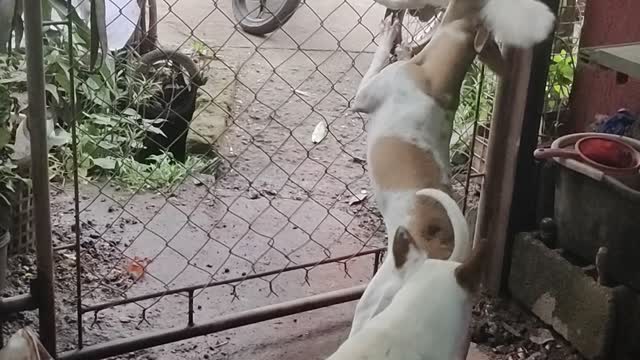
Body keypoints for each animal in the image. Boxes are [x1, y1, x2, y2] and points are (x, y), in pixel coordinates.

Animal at [344, 0, 556, 344]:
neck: (436, 75)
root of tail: (447, 260)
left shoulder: (365, 95)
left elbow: (378, 60)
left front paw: (392, 35)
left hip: (372, 301)